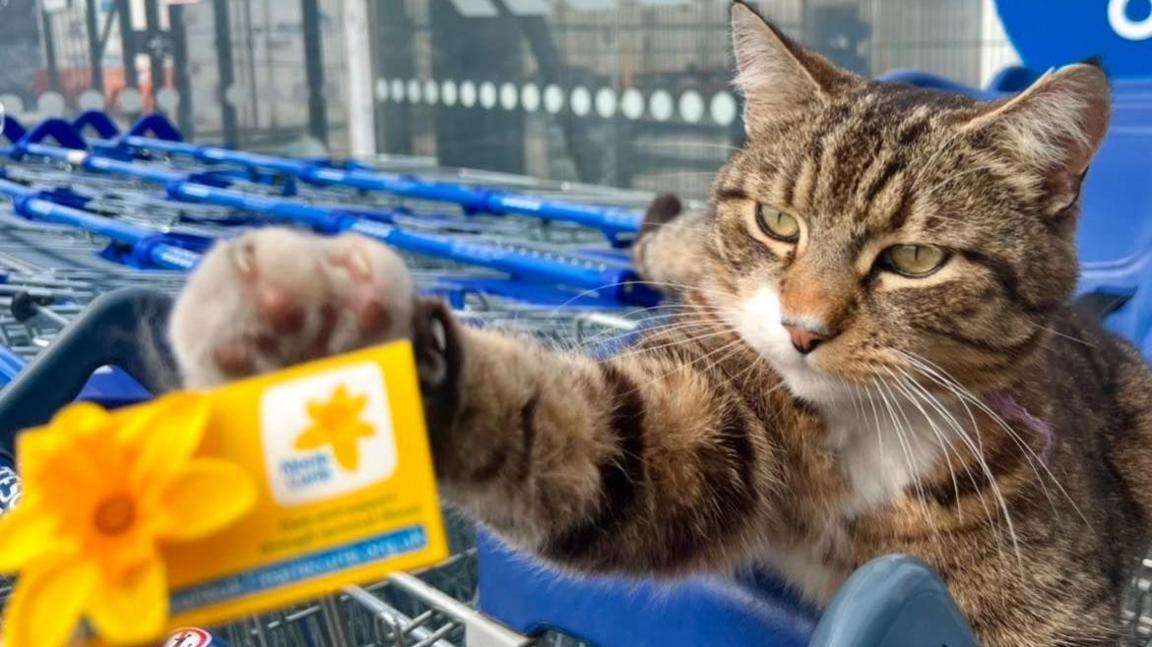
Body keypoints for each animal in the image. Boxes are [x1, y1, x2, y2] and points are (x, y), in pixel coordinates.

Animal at [168, 3, 1152, 640]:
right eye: (779, 222)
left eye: (913, 260)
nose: (801, 328)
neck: (862, 433)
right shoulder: (713, 410)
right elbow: (595, 438)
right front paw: (328, 327)